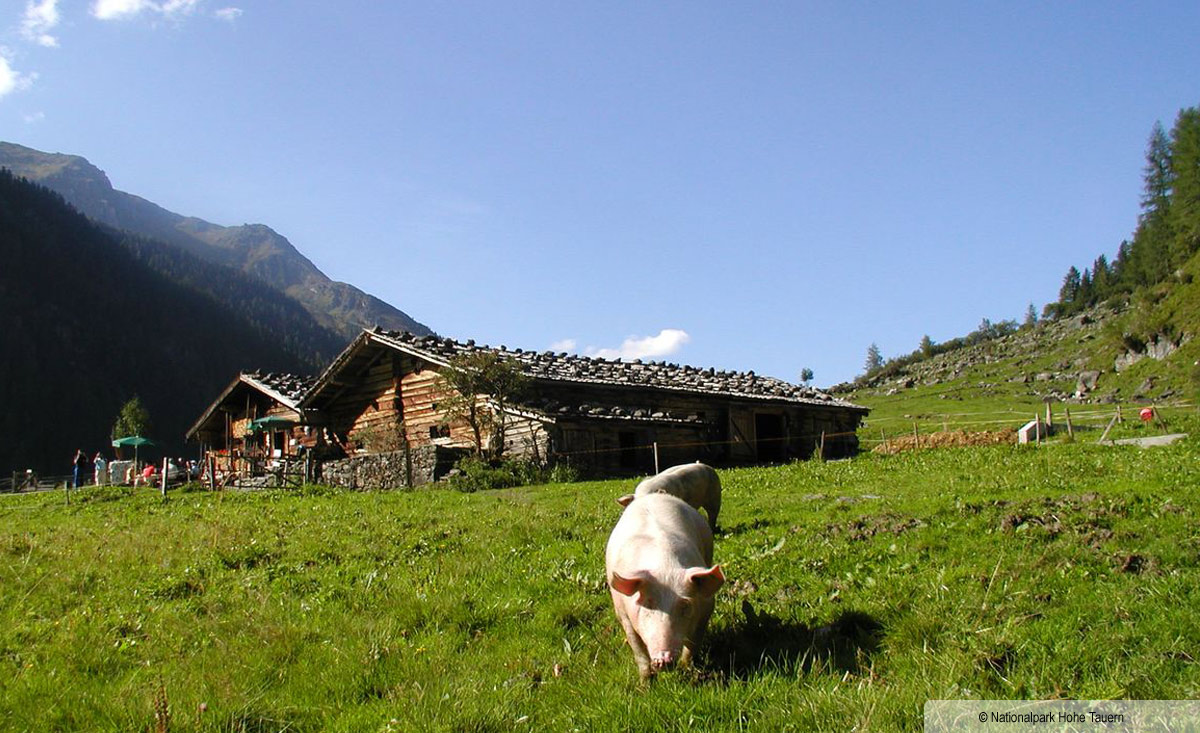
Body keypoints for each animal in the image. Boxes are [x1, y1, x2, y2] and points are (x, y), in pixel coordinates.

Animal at [604, 494, 724, 681]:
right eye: (648, 603)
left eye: (685, 605)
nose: (663, 659)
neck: (664, 566)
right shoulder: (622, 613)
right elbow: (638, 651)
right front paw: (644, 683)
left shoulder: (706, 608)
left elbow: (693, 645)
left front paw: (686, 670)